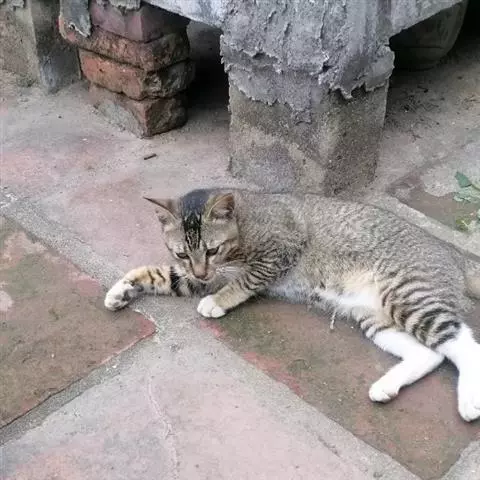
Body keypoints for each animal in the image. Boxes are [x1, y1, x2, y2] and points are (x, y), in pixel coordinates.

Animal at [105, 188, 480, 422]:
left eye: (212, 249)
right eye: (182, 253)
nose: (201, 268)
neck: (245, 221)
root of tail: (452, 253)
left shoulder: (281, 251)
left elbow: (246, 280)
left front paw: (218, 301)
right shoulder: (193, 276)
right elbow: (160, 274)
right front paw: (121, 290)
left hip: (410, 294)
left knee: (465, 345)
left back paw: (469, 401)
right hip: (375, 315)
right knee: (430, 354)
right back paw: (386, 387)